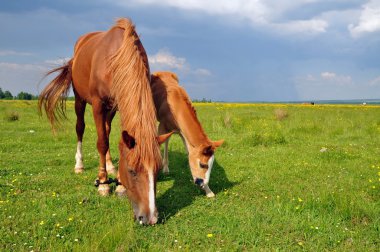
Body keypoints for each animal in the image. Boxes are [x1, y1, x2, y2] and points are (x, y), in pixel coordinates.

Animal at [37, 18, 171, 225]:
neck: (117, 58)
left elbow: (112, 140)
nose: (150, 218)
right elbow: (101, 142)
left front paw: (119, 184)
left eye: (157, 170)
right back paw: (80, 165)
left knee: (106, 130)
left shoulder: (119, 104)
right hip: (80, 100)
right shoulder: (98, 105)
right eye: (132, 171)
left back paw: (110, 166)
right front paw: (103, 184)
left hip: (111, 108)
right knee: (80, 128)